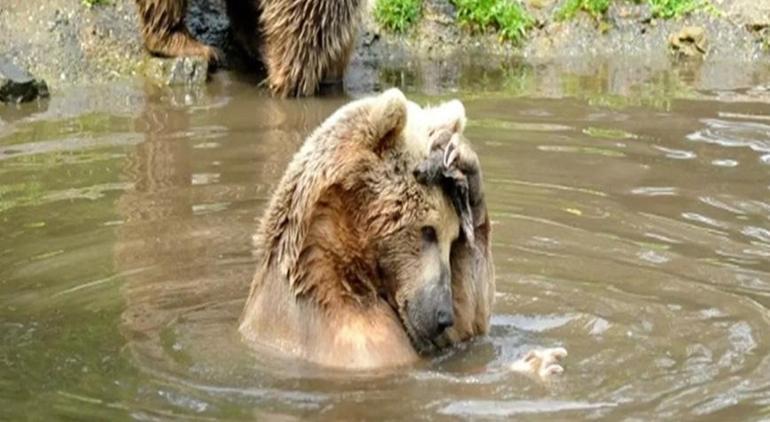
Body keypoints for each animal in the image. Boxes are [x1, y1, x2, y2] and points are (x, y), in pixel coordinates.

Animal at [237, 89, 496, 370]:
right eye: (428, 230)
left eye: (454, 236)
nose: (443, 316)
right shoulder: (351, 337)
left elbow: (469, 322)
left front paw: (462, 161)